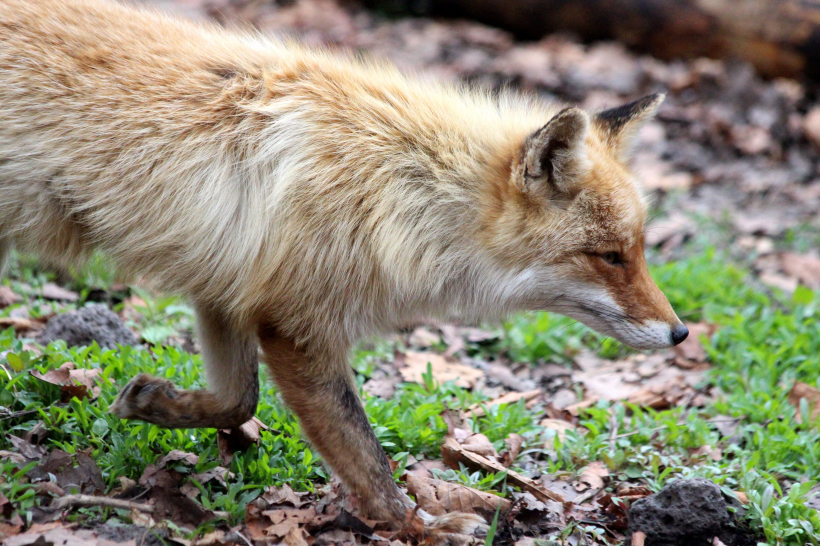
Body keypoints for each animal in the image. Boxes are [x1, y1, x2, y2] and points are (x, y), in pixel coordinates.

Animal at [0, 0, 692, 536]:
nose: (681, 333)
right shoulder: (297, 324)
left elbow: (235, 398)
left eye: (639, 249)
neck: (395, 188)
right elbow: (366, 457)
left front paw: (156, 405)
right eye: (609, 256)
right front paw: (415, 525)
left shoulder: (230, 287)